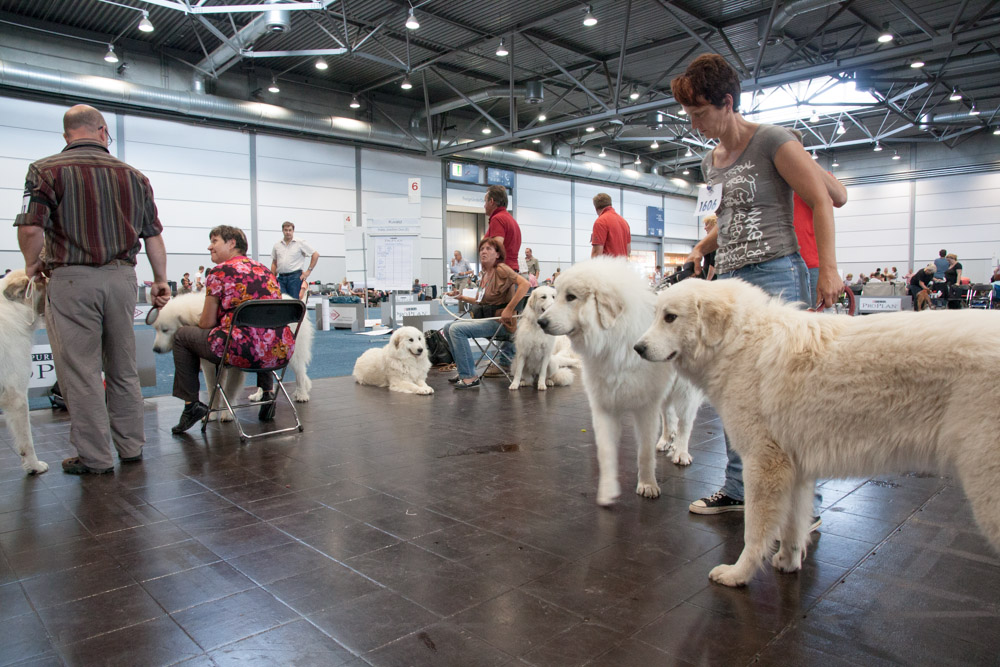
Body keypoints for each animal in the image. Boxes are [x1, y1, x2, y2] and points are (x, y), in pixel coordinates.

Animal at [540, 258, 704, 504]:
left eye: (571, 297)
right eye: (555, 295)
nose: (540, 321)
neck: (614, 341)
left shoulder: (645, 407)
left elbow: (644, 453)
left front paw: (647, 485)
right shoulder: (604, 405)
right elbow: (606, 451)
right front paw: (607, 490)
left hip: (685, 393)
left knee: (685, 423)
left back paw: (680, 452)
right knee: (668, 416)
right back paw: (665, 441)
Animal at [636, 280, 1000, 588]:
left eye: (670, 317)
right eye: (655, 316)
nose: (638, 348)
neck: (742, 342)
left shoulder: (763, 464)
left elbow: (755, 531)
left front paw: (739, 574)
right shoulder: (795, 470)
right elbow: (793, 525)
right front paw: (787, 561)